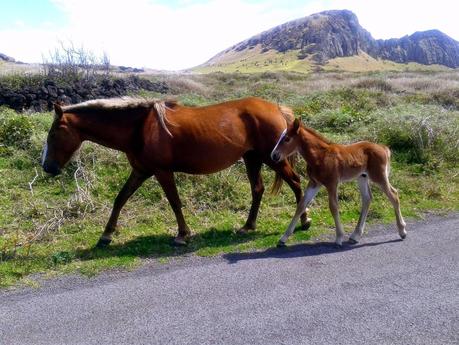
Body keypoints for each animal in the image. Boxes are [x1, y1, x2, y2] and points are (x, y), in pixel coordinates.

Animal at [272, 118, 408, 247]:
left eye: (287, 139)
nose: (274, 155)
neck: (320, 156)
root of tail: (384, 148)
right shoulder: (314, 183)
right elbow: (301, 205)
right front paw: (283, 239)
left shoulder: (332, 183)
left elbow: (333, 207)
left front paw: (339, 238)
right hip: (362, 177)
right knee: (367, 198)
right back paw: (355, 235)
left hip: (379, 177)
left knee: (394, 195)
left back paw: (402, 231)